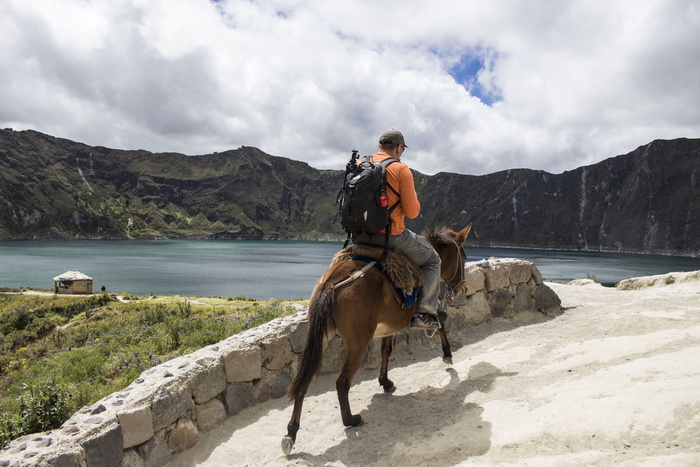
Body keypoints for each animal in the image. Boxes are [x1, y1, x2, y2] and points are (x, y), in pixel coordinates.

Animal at [282, 225, 474, 456]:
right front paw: (447, 354)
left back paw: (291, 432)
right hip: (358, 344)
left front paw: (385, 382)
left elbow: (386, 350)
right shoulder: (423, 311)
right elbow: (440, 323)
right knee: (342, 382)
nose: (463, 288)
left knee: (304, 379)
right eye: (463, 256)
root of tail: (331, 283)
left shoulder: (390, 325)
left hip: (321, 337)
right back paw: (350, 420)